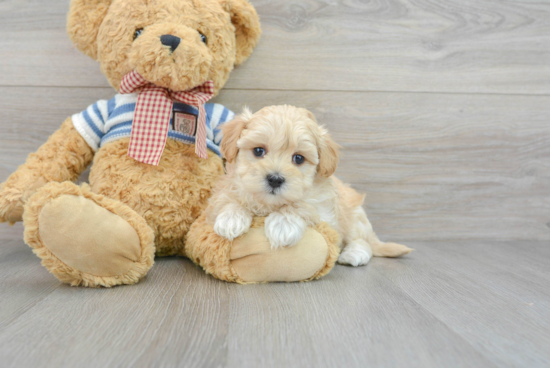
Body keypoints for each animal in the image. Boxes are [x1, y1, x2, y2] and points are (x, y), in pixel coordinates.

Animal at [208, 105, 414, 266]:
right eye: (258, 151)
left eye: (299, 158)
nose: (275, 179)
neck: (269, 204)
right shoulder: (230, 185)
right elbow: (230, 197)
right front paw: (231, 218)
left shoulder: (325, 210)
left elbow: (303, 204)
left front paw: (282, 224)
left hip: (354, 217)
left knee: (362, 242)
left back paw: (353, 254)